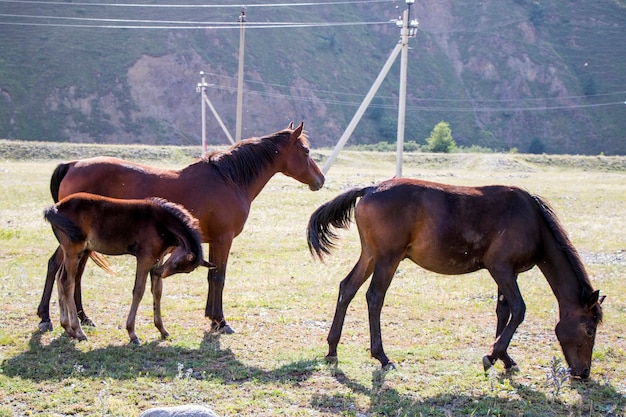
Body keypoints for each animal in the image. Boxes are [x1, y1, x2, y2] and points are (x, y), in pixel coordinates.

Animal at [44, 192, 212, 342]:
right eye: (177, 264)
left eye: (184, 271)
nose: (158, 272)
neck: (160, 222)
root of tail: (55, 207)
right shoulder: (145, 258)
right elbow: (138, 291)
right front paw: (132, 333)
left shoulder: (158, 259)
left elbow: (157, 291)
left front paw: (162, 330)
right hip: (74, 251)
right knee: (67, 282)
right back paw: (78, 331)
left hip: (70, 251)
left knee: (60, 277)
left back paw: (67, 328)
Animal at [308, 177, 604, 378]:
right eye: (590, 329)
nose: (583, 372)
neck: (533, 222)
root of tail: (369, 189)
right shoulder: (502, 269)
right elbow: (519, 310)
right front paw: (492, 355)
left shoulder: (506, 273)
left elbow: (503, 312)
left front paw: (504, 357)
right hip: (387, 259)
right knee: (374, 297)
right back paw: (381, 356)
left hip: (370, 255)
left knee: (347, 288)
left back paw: (332, 349)